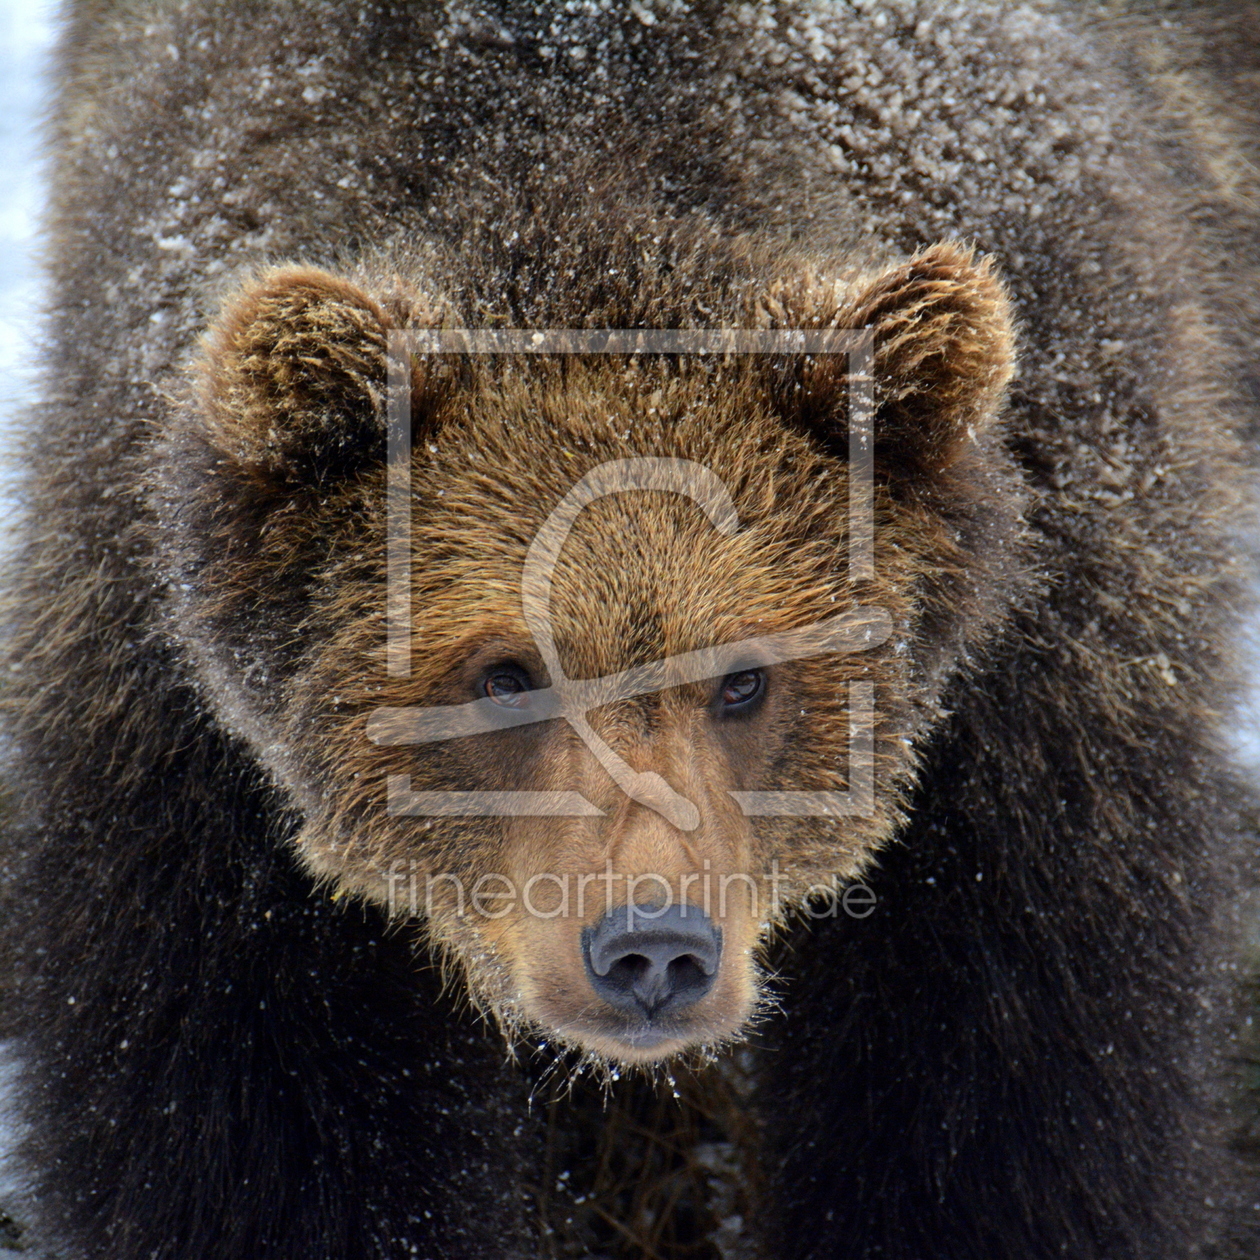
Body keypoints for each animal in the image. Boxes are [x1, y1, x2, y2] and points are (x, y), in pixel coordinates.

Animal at [2, 2, 1260, 1260]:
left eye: (745, 678)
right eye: (507, 674)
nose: (652, 947)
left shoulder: (1033, 704)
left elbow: (1001, 1105)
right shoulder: (181, 753)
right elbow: (254, 1128)